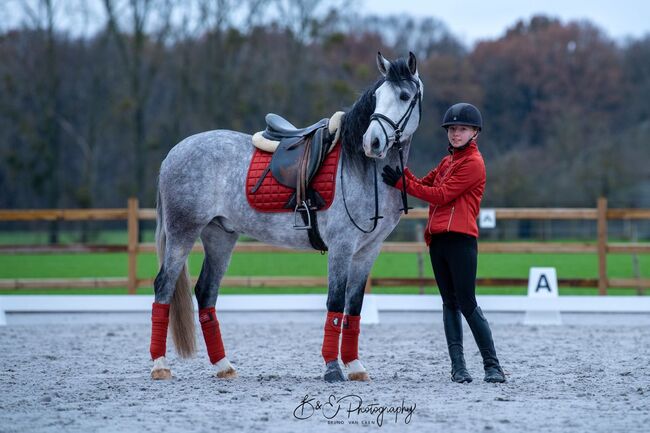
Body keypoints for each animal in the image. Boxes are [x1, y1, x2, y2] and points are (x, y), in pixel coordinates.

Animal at [151, 52, 422, 380]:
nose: (372, 143)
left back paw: (223, 366)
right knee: (164, 287)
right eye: (377, 97)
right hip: (183, 232)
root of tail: (173, 154)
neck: (360, 168)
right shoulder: (342, 247)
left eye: (404, 96)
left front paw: (355, 366)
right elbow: (335, 304)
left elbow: (354, 307)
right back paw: (160, 365)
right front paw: (333, 368)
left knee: (205, 292)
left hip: (219, 237)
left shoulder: (368, 251)